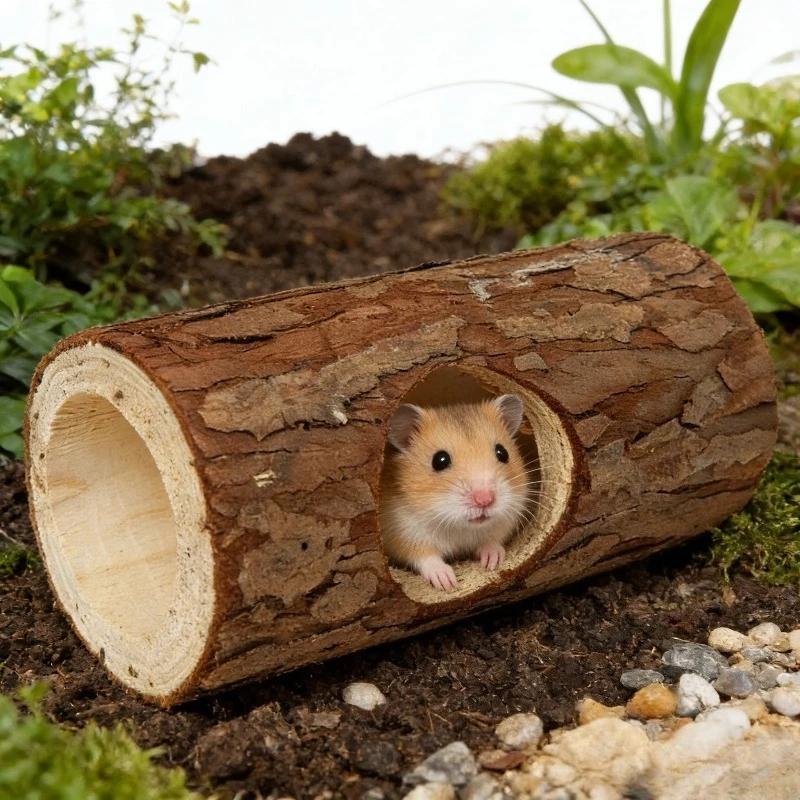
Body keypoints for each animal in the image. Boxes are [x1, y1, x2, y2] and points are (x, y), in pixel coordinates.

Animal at [380, 394, 531, 591]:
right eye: (439, 460)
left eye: (502, 452)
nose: (485, 500)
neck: (459, 527)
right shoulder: (403, 532)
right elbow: (425, 557)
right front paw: (447, 582)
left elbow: (492, 540)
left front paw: (492, 562)